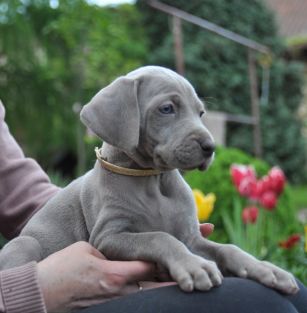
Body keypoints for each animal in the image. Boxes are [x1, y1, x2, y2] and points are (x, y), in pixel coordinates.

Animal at [0, 66, 300, 294]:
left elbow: (229, 248)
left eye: (201, 113)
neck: (152, 179)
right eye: (167, 109)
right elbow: (159, 237)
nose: (210, 147)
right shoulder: (108, 237)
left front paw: (265, 269)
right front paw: (194, 266)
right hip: (25, 244)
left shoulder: (192, 237)